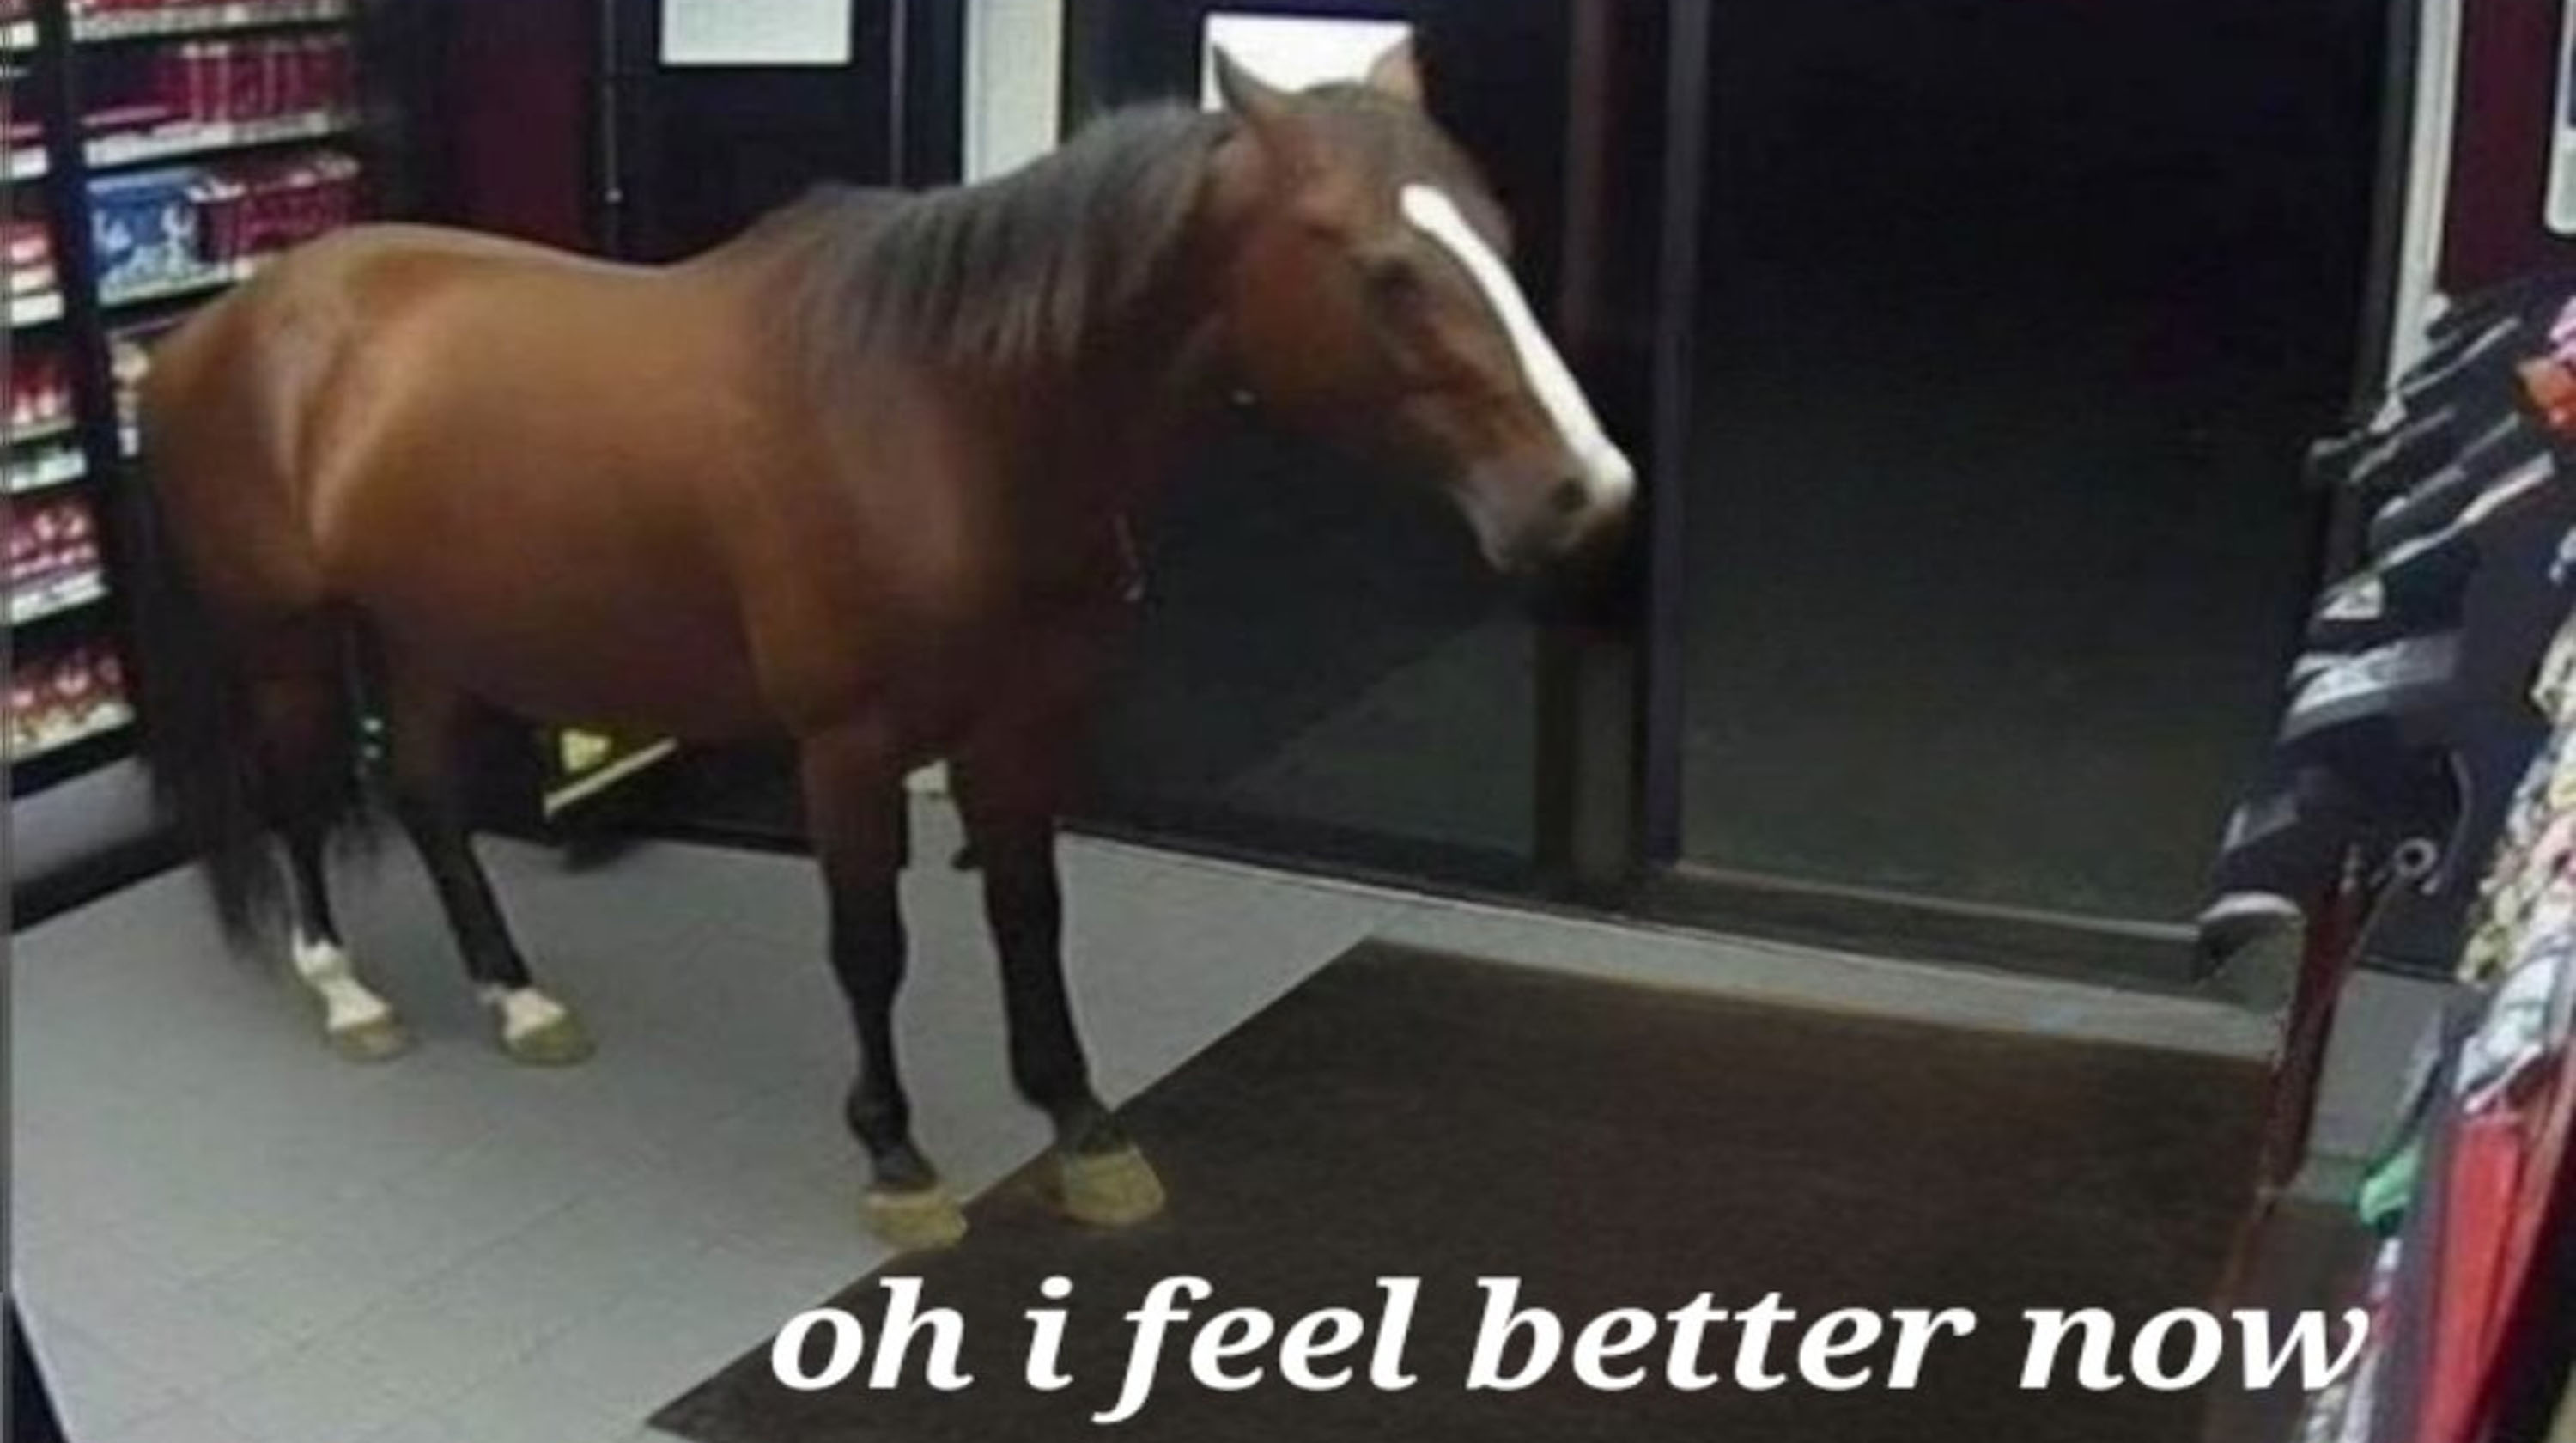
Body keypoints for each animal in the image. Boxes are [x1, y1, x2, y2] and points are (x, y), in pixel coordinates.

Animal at [127, 42, 1634, 1249]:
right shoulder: (847, 753)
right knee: (300, 801)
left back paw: (516, 1000)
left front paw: (1081, 1124)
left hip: (433, 629)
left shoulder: (1027, 727)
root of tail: (221, 328)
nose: (1586, 491)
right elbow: (871, 947)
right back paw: (343, 993)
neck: (944, 414)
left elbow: (1029, 913)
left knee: (433, 798)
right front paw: (897, 1154)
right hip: (286, 639)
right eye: (1385, 270)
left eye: (1498, 230)